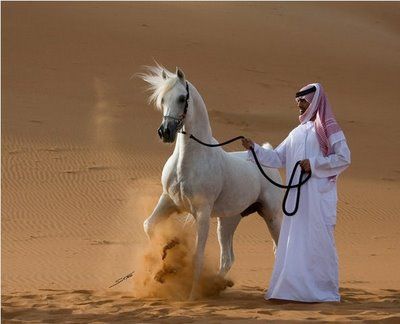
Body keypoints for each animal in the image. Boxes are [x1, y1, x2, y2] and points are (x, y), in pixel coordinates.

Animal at [140, 66, 282, 302]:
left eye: (182, 98)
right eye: (162, 99)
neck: (188, 161)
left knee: (279, 249)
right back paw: (217, 285)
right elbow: (149, 226)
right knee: (228, 258)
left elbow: (198, 255)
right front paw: (165, 262)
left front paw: (191, 295)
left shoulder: (202, 212)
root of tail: (267, 153)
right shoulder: (169, 201)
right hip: (228, 221)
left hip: (271, 215)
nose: (165, 132)